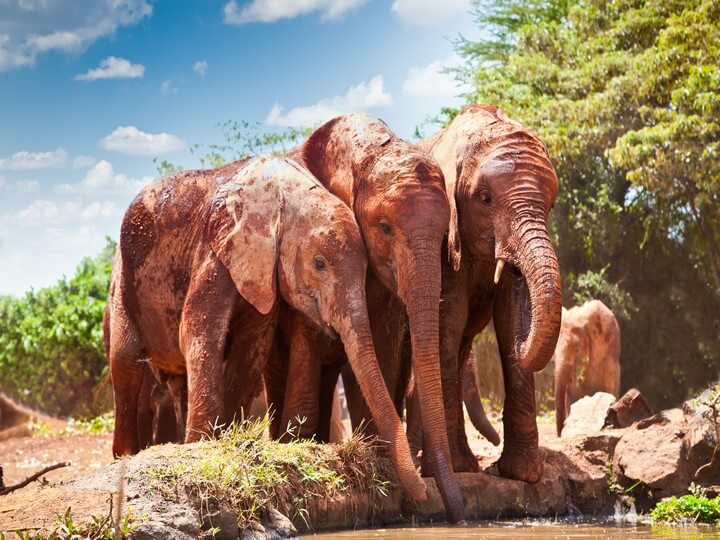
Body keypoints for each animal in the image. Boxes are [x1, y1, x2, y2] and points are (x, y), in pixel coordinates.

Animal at [105, 155, 426, 503]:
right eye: (319, 264)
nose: (423, 493)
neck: (283, 198)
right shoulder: (217, 250)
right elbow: (198, 330)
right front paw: (204, 446)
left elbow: (253, 345)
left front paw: (226, 441)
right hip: (122, 278)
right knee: (125, 361)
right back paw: (127, 454)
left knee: (177, 383)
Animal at [264, 114, 464, 522]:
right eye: (385, 228)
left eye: (443, 237)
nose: (459, 513)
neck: (360, 150)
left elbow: (383, 340)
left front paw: (377, 452)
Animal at [415, 104, 563, 482]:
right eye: (485, 199)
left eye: (550, 206)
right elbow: (448, 319)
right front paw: (456, 470)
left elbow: (511, 312)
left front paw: (520, 473)